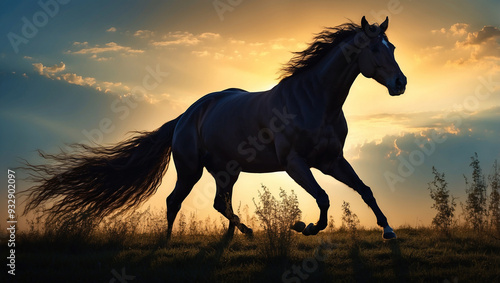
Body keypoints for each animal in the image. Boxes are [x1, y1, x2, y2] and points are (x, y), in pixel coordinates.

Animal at [22, 16, 406, 241]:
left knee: (221, 203)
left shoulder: (331, 161)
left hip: (227, 171)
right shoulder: (296, 164)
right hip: (190, 169)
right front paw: (305, 227)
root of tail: (184, 116)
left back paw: (241, 234)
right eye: (375, 48)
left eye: (393, 46)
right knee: (175, 200)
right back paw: (170, 242)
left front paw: (387, 229)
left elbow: (365, 190)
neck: (314, 101)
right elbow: (323, 197)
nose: (400, 83)